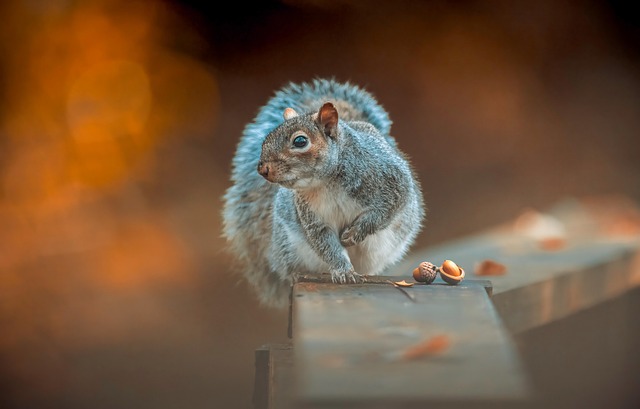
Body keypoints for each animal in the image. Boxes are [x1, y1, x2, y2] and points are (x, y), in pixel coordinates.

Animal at [222, 78, 425, 308]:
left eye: (300, 141)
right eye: (266, 138)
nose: (262, 169)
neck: (326, 183)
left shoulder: (393, 183)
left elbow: (383, 213)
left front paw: (353, 234)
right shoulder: (313, 218)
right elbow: (327, 244)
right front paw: (343, 271)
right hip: (289, 247)